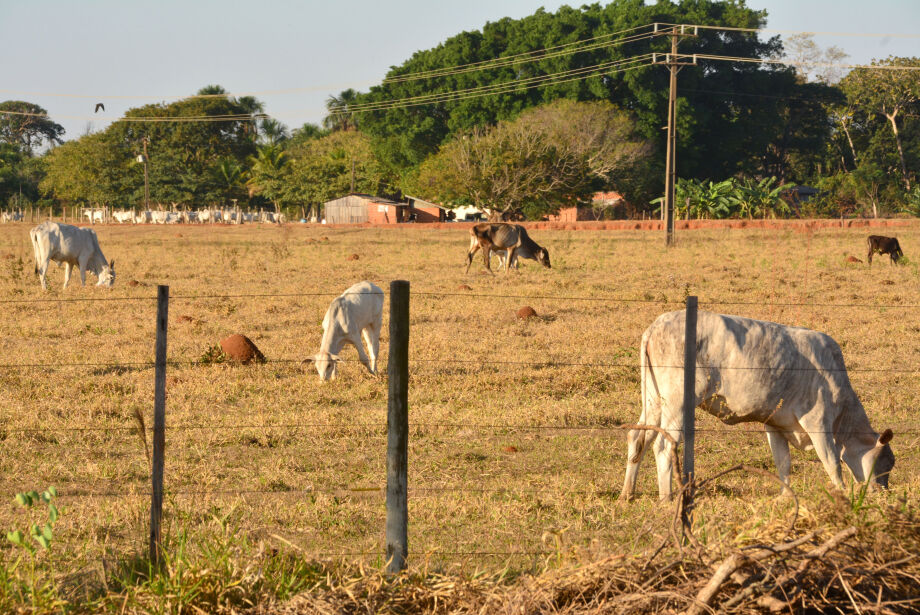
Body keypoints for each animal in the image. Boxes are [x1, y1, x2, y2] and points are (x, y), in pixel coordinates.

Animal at [620, 312, 896, 500]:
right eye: (885, 463)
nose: (883, 492)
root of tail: (656, 326)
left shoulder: (775, 424)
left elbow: (783, 462)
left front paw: (785, 497)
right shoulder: (818, 423)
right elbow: (831, 463)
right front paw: (842, 494)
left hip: (654, 401)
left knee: (638, 437)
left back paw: (627, 493)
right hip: (678, 402)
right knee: (663, 445)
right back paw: (666, 499)